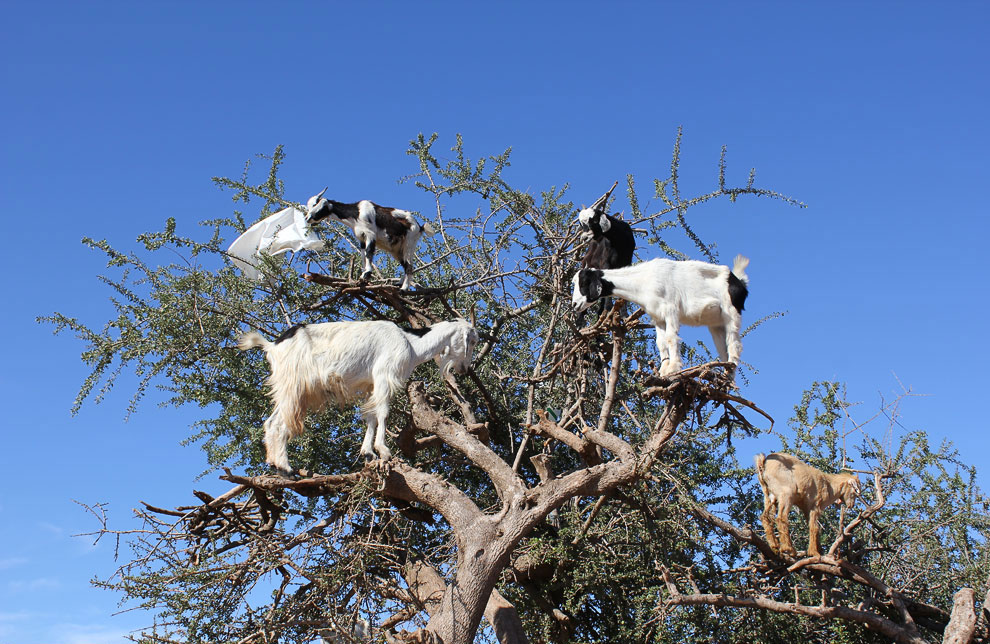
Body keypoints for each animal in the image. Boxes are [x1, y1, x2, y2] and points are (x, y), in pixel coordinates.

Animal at [236, 318, 476, 472]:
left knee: (270, 422)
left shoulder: (370, 384)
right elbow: (383, 412)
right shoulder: (384, 375)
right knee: (279, 422)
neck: (411, 342)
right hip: (294, 386)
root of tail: (272, 346)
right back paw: (285, 467)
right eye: (471, 342)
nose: (464, 369)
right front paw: (383, 450)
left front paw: (368, 453)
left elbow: (370, 417)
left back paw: (273, 463)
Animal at [306, 187, 438, 290]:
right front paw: (364, 275)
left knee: (409, 265)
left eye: (319, 206)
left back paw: (404, 289)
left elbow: (369, 253)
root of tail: (420, 227)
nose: (308, 218)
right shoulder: (361, 238)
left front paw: (367, 274)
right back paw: (399, 284)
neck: (356, 213)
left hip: (409, 243)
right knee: (405, 264)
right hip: (397, 249)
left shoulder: (370, 234)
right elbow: (363, 255)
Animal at [572, 254, 752, 378]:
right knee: (723, 347)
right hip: (716, 323)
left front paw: (673, 368)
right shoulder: (657, 316)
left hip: (731, 312)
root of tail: (739, 282)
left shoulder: (671, 310)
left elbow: (671, 338)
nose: (574, 305)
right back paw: (726, 375)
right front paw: (663, 369)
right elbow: (661, 342)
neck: (643, 280)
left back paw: (728, 376)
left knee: (734, 344)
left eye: (584, 283)